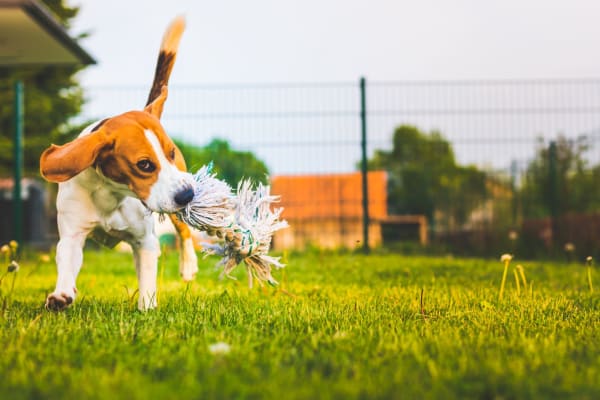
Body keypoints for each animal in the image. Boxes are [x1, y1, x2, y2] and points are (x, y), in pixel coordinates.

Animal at [40, 17, 199, 310]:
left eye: (170, 153)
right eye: (144, 165)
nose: (187, 194)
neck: (110, 194)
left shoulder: (145, 240)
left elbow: (147, 280)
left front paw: (147, 309)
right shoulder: (72, 234)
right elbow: (67, 261)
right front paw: (61, 295)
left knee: (183, 231)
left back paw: (188, 265)